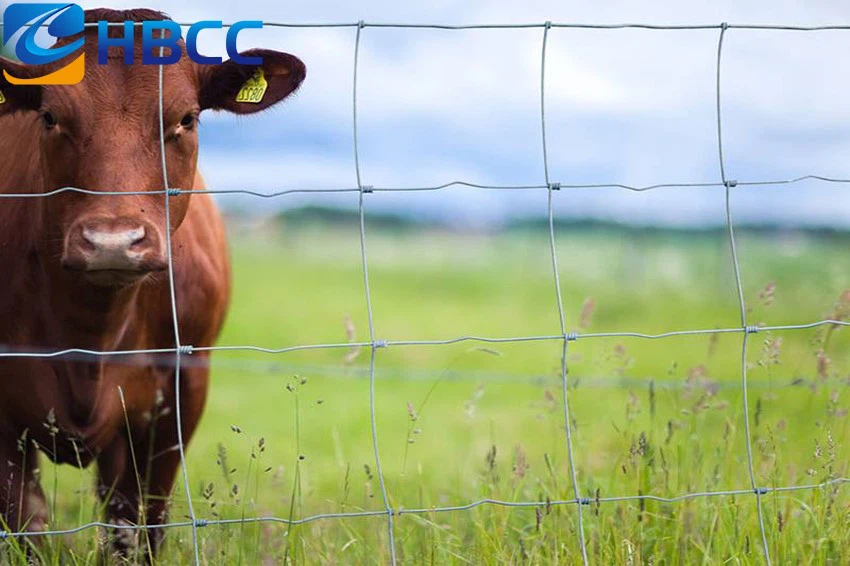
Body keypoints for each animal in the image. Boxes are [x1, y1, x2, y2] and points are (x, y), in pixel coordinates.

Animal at [0, 8, 305, 559]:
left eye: (186, 119)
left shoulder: (180, 395)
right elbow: (27, 528)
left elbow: (139, 525)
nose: (113, 242)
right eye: (50, 117)